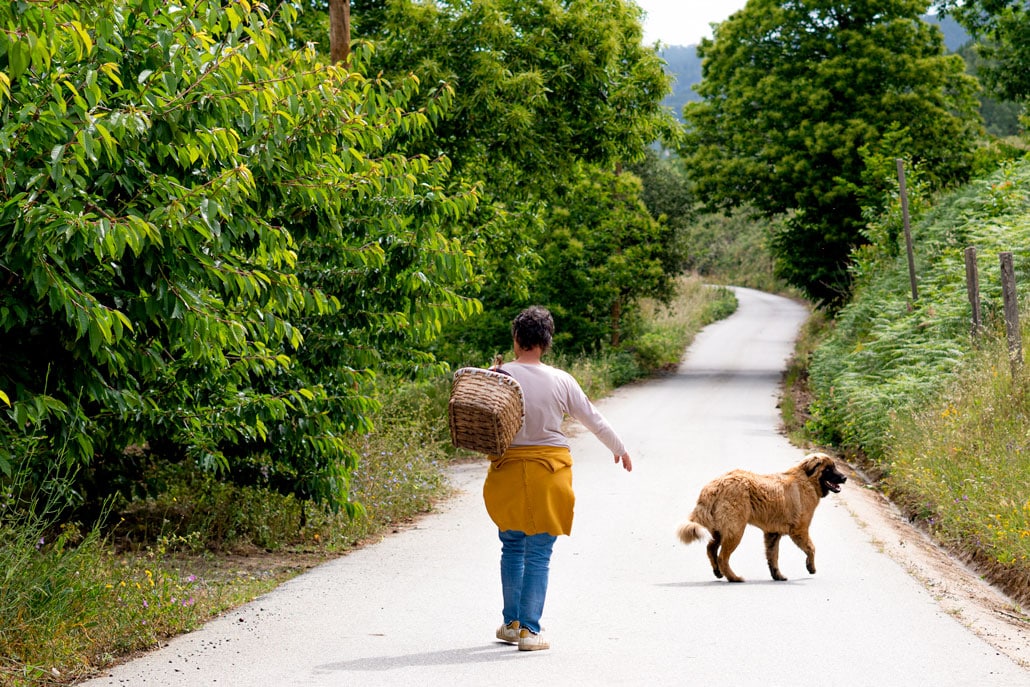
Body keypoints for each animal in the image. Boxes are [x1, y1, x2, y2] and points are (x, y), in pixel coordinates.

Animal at [675, 453, 844, 585]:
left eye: (834, 467)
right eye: (828, 469)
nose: (844, 478)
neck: (807, 481)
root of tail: (715, 485)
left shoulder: (772, 534)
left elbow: (773, 557)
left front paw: (777, 575)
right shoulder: (799, 530)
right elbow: (811, 548)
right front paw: (811, 567)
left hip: (719, 530)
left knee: (711, 548)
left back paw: (718, 572)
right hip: (735, 530)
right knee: (723, 557)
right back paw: (734, 578)